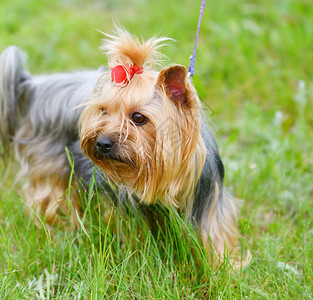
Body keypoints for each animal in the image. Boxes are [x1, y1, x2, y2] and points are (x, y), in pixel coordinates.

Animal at [0, 27, 249, 268]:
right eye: (103, 111)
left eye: (138, 118)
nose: (101, 143)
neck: (162, 177)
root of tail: (35, 87)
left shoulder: (208, 199)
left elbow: (214, 234)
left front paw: (225, 267)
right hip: (50, 167)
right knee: (50, 200)